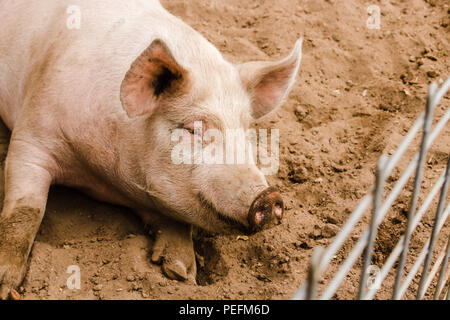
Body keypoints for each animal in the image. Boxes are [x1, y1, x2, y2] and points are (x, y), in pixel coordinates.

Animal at [0, 0, 302, 300]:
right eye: (194, 128)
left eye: (246, 129)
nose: (269, 196)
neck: (99, 176)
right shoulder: (32, 134)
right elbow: (26, 211)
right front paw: (5, 285)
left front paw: (182, 272)